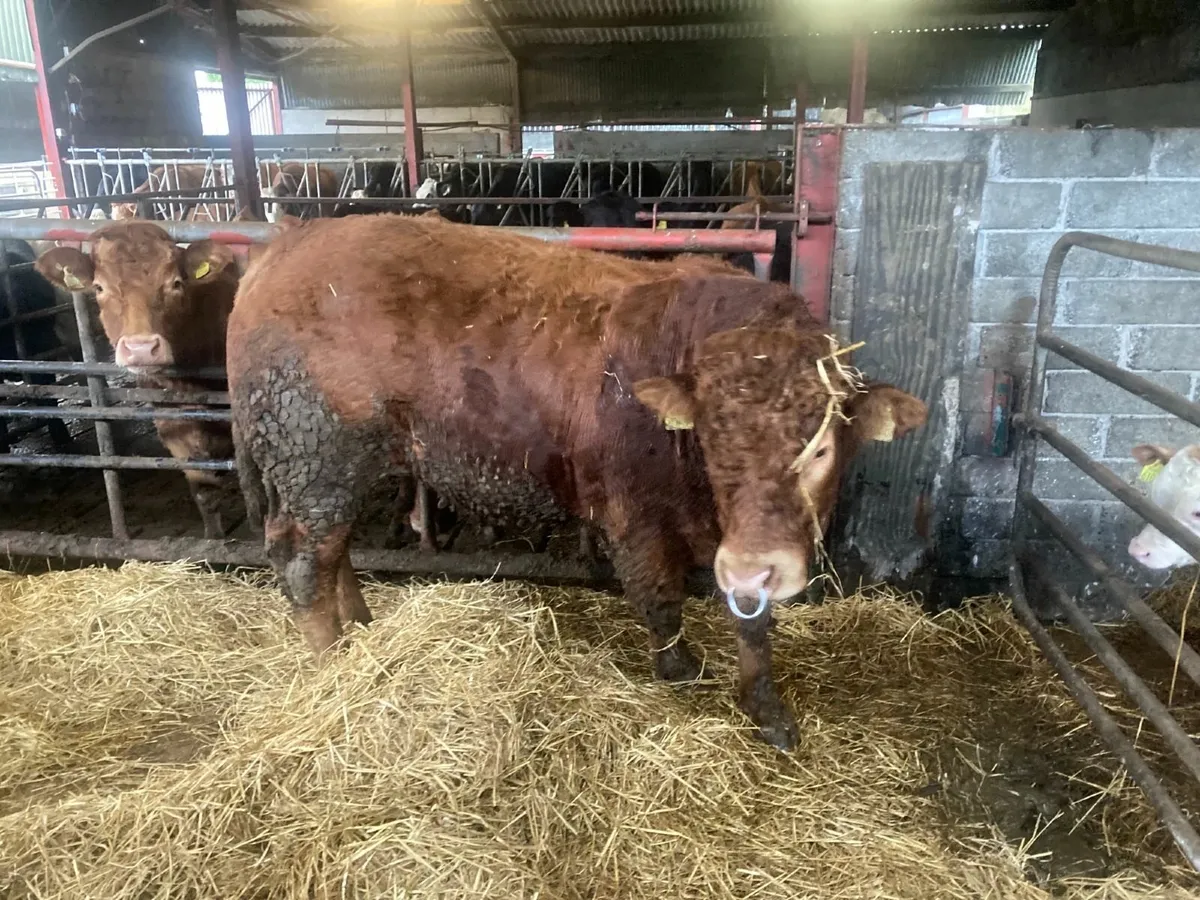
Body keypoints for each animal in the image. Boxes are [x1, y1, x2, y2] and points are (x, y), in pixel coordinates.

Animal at [226, 213, 927, 750]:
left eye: (820, 447)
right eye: (710, 436)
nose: (755, 565)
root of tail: (289, 242)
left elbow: (754, 623)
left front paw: (768, 710)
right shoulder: (632, 514)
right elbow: (661, 598)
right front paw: (679, 669)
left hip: (335, 469)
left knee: (333, 549)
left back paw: (362, 630)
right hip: (316, 456)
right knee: (303, 558)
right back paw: (332, 665)